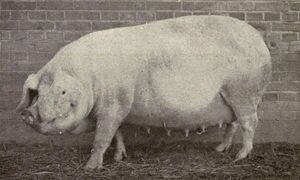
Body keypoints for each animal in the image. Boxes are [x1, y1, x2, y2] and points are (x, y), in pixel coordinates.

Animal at [15, 15, 272, 170]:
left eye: (63, 92)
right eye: (38, 92)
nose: (29, 113)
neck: (89, 79)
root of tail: (260, 41)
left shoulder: (113, 106)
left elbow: (101, 138)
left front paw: (90, 167)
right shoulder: (118, 109)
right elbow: (117, 134)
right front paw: (119, 158)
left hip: (244, 93)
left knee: (250, 123)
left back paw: (240, 156)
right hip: (232, 100)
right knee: (233, 124)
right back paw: (219, 149)